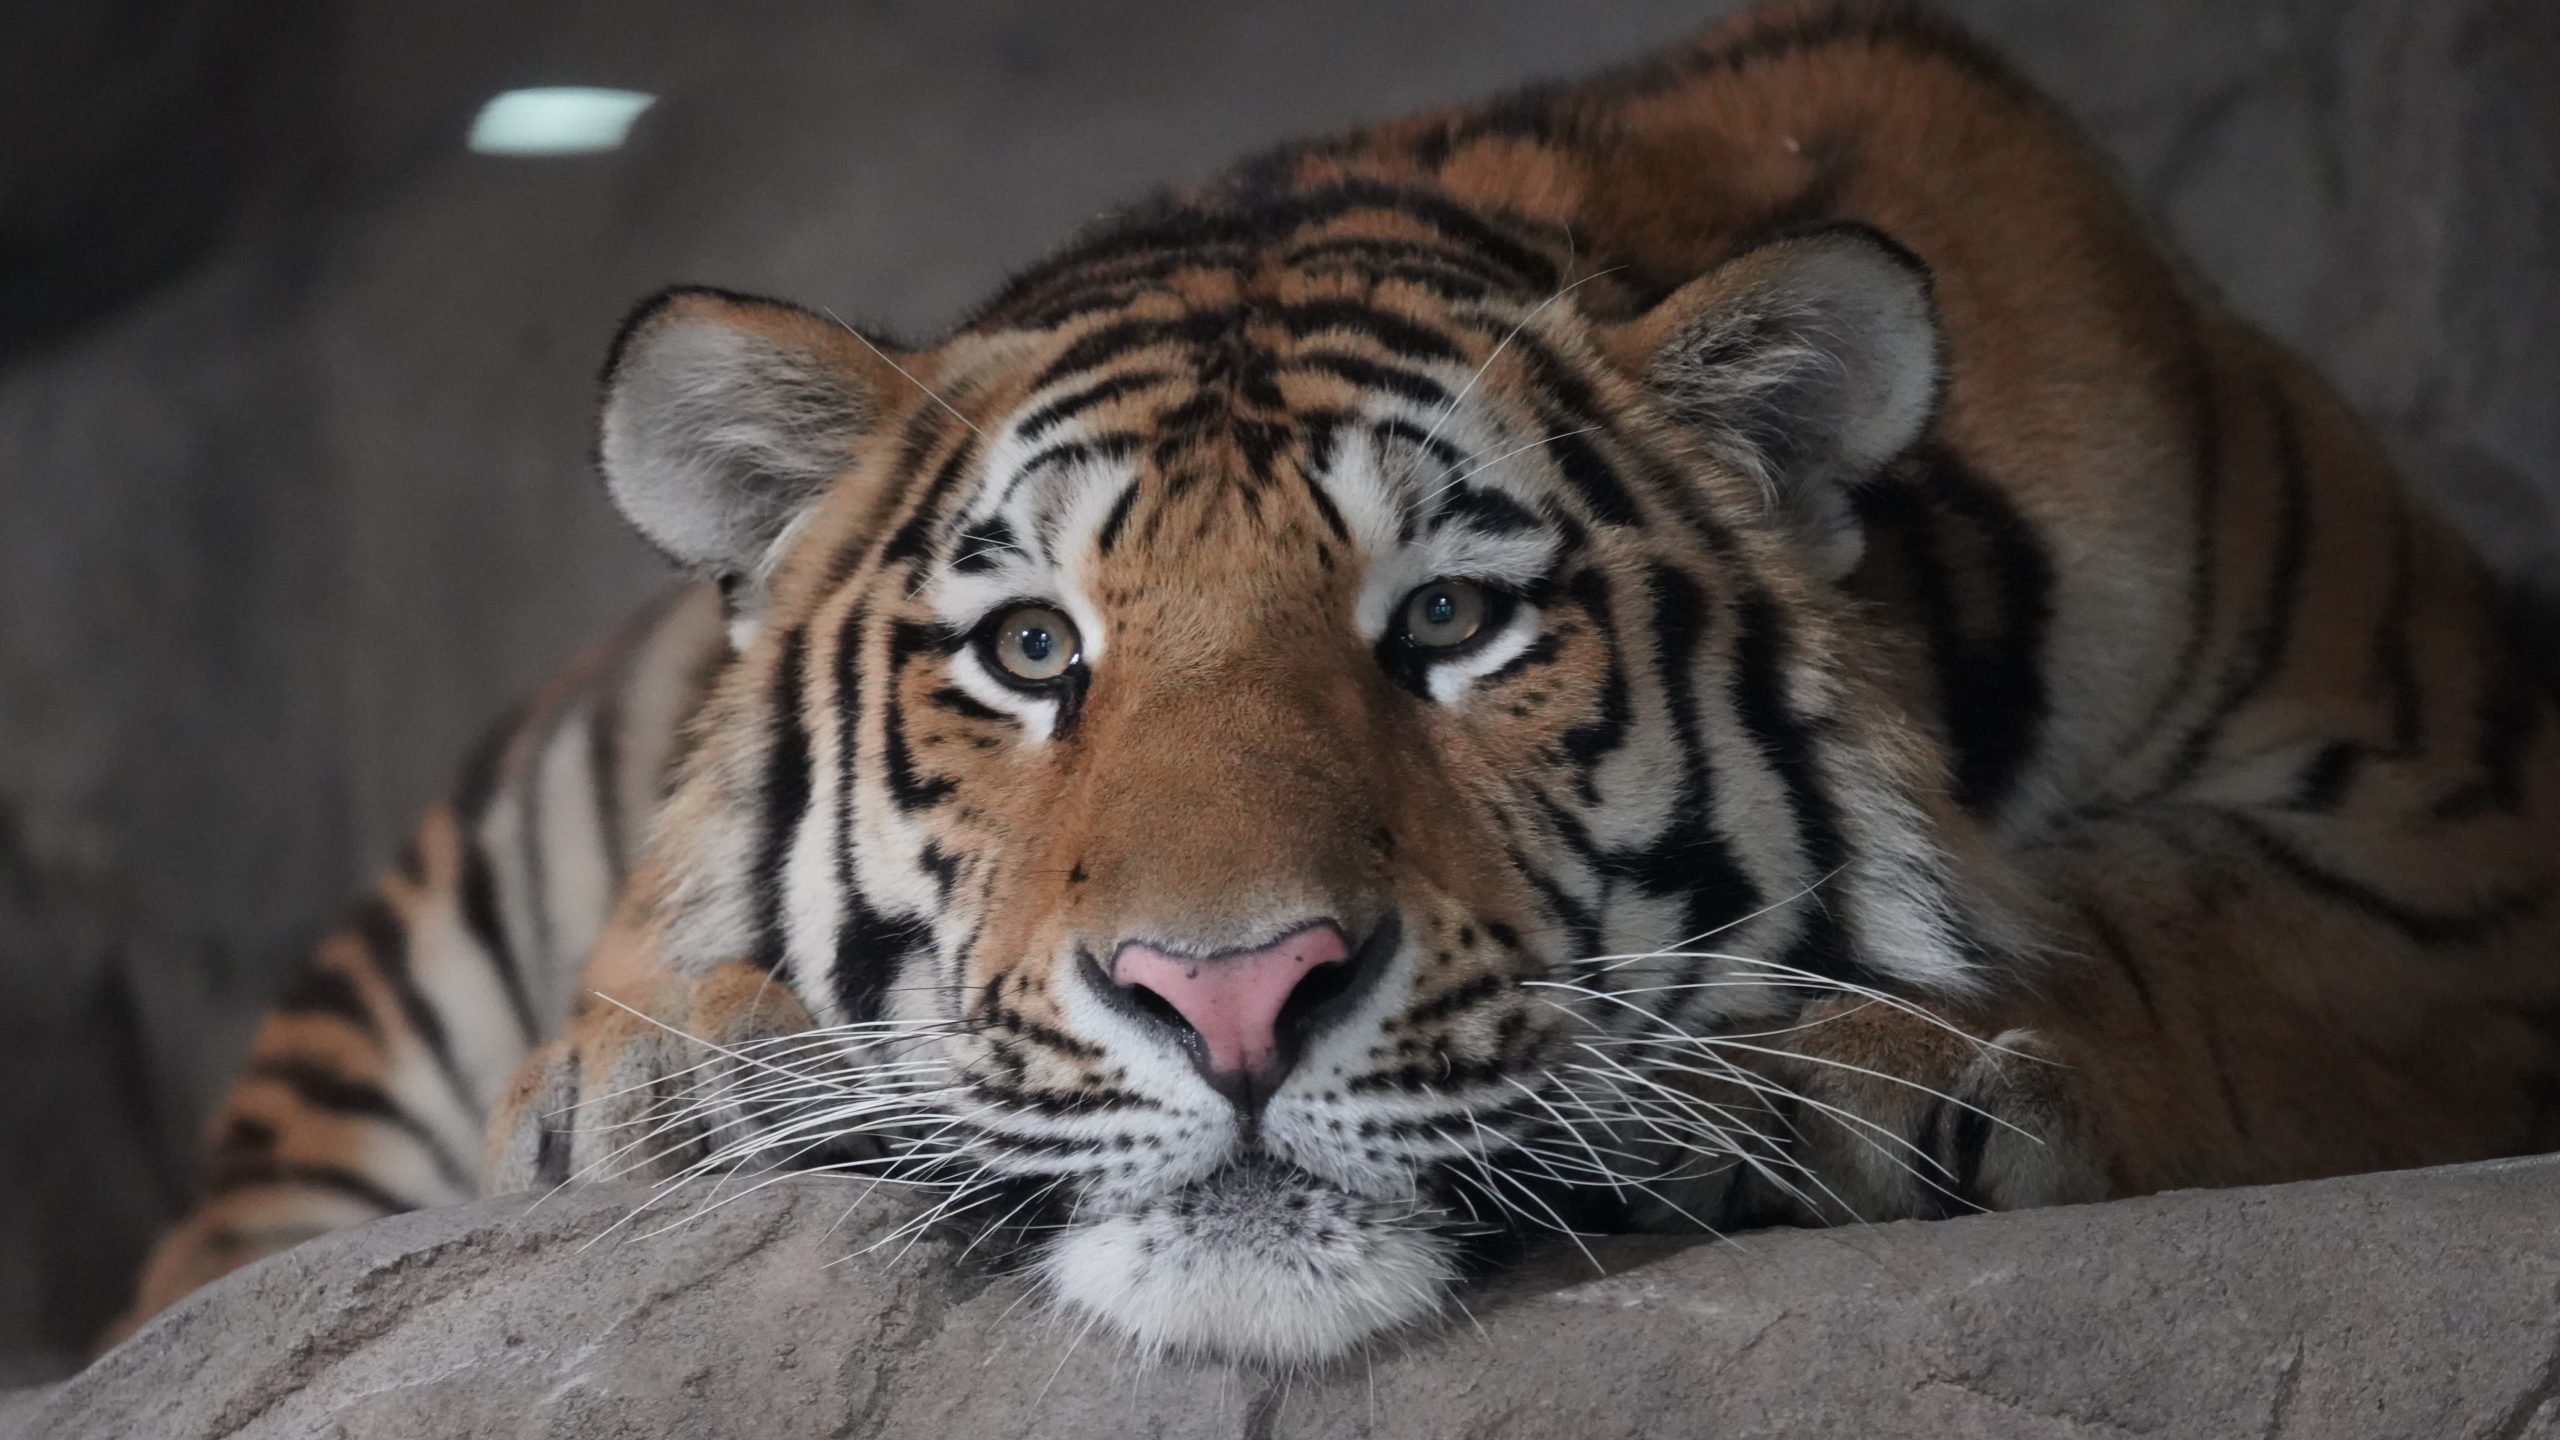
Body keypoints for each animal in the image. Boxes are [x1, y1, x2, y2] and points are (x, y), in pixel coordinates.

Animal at [115, 0, 2560, 1363]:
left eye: (1452, 627)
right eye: (1031, 650)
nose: (1231, 998)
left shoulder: (2460, 844)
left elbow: (2187, 939)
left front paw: (1863, 1066)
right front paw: (702, 1071)